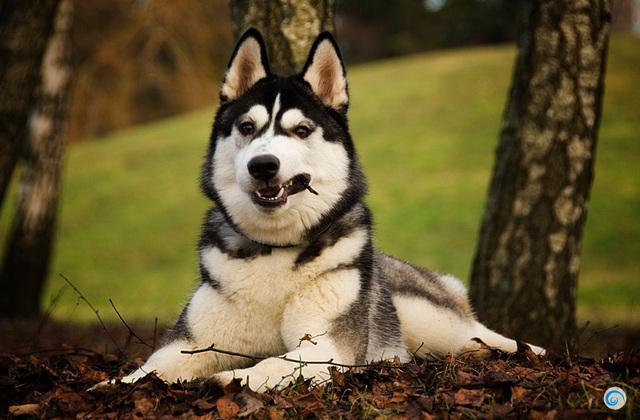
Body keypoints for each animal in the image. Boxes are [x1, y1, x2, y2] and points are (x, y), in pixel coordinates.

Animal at [107, 30, 544, 394]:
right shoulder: (192, 341)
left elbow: (270, 364)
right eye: (247, 127)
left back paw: (525, 350)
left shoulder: (326, 346)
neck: (274, 250)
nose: (262, 165)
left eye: (301, 130)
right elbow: (150, 368)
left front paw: (226, 379)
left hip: (427, 317)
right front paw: (113, 385)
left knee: (475, 329)